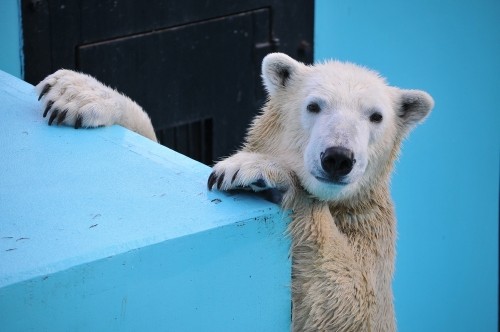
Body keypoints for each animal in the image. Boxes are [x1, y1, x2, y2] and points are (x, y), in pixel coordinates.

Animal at [36, 53, 434, 330]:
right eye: (314, 105)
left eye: (376, 116)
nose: (338, 157)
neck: (338, 205)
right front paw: (75, 92)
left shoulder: (371, 235)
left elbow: (346, 302)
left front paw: (258, 169)